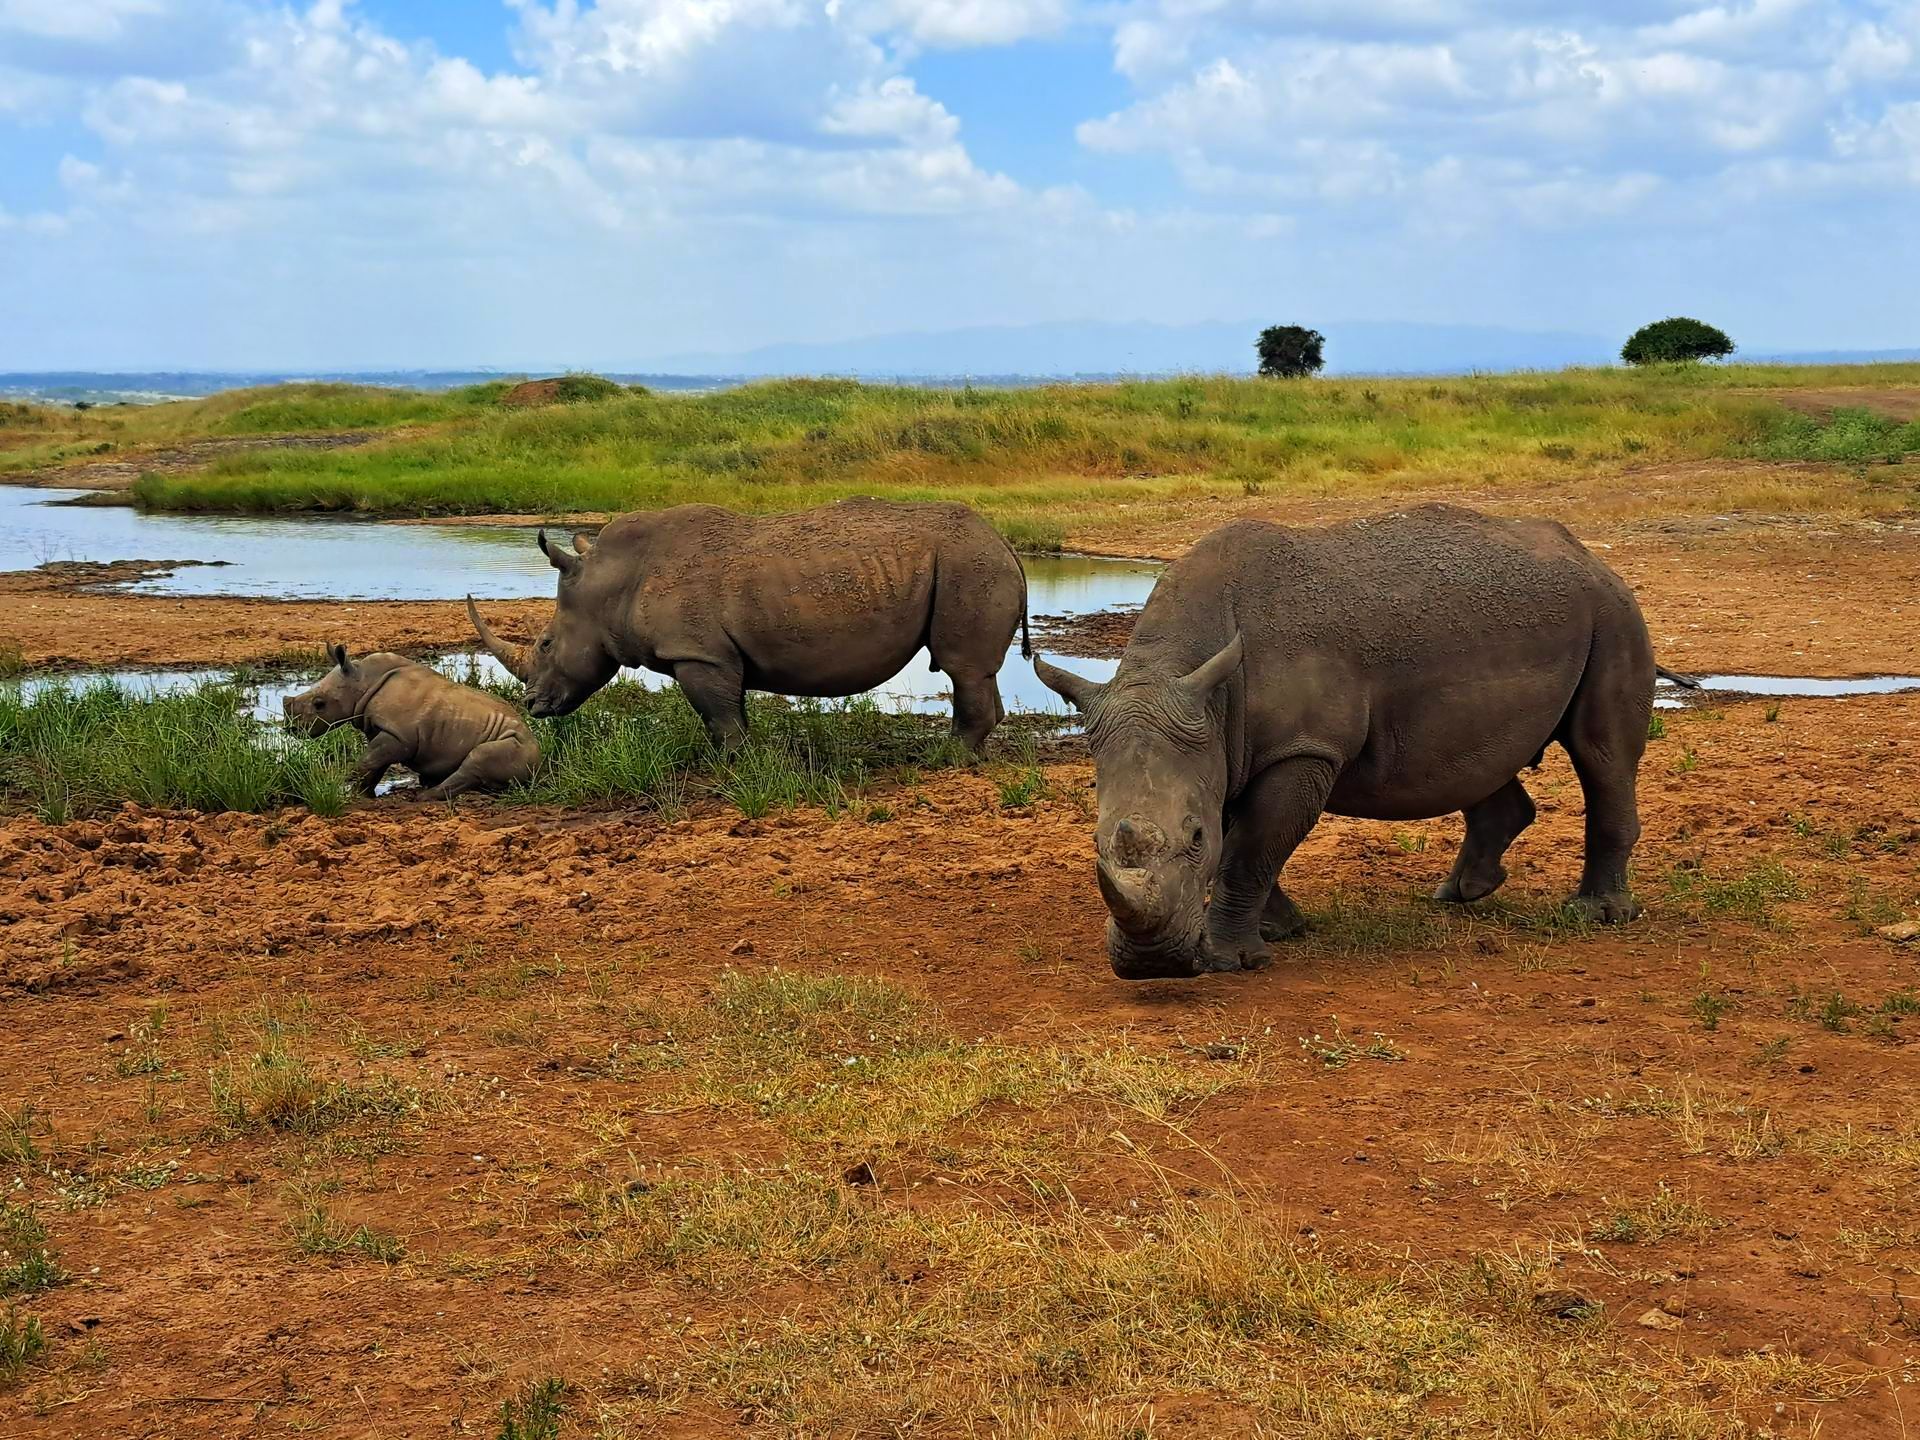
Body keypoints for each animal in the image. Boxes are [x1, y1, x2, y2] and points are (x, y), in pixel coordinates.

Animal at [282, 647, 539, 800]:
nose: (291, 728)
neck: (362, 682)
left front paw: (349, 792)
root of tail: (538, 758)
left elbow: (368, 760)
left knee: (477, 758)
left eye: (319, 704)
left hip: (517, 744)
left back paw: (424, 796)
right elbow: (375, 764)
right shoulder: (384, 732)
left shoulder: (399, 735)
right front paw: (363, 796)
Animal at [466, 499, 1030, 750]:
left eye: (545, 643)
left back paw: (948, 759)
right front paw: (742, 759)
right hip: (968, 562)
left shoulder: (696, 651)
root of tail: (1004, 541)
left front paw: (729, 765)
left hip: (966, 563)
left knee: (960, 666)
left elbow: (719, 717)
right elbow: (731, 709)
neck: (612, 582)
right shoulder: (717, 654)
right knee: (974, 670)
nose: (533, 706)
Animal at [1034, 504, 1667, 980]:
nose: (1151, 965)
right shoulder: (1228, 745)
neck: (1184, 668)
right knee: (1486, 758)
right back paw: (1460, 893)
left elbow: (1249, 847)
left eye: (1193, 838)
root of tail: (1589, 554)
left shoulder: (1303, 747)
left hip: (1613, 613)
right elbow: (1243, 835)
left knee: (1602, 755)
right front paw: (1280, 930)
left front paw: (1231, 960)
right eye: (1094, 842)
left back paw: (1596, 916)